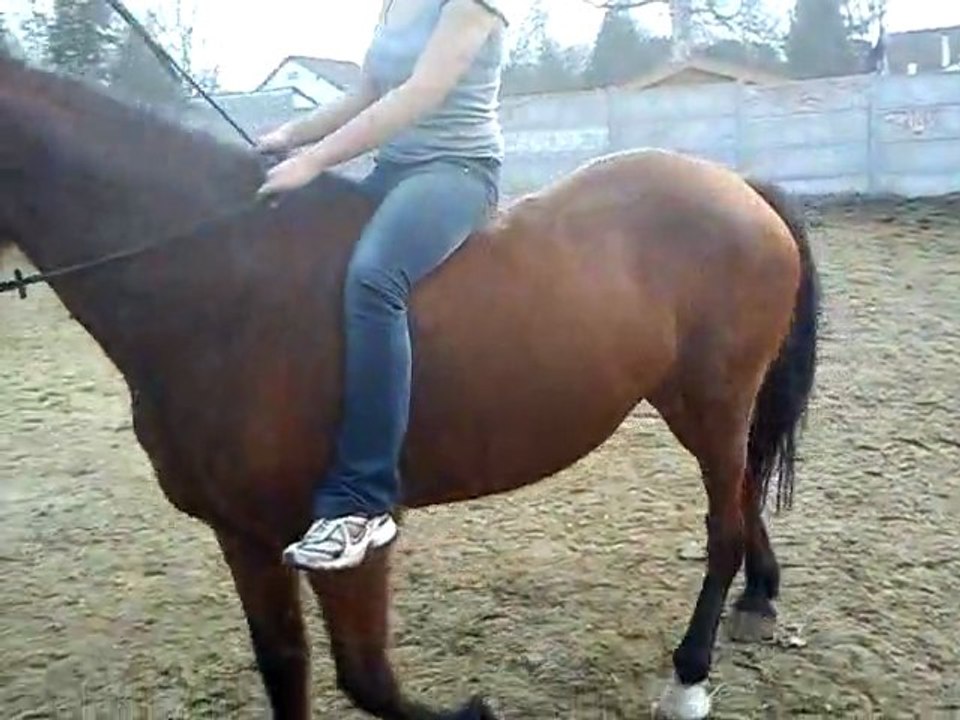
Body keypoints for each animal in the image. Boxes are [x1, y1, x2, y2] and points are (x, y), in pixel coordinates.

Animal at [0, 56, 819, 720]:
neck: (225, 282)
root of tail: (737, 187)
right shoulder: (244, 537)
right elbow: (285, 668)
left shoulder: (350, 543)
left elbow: (369, 681)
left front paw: (474, 711)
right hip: (687, 402)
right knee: (742, 494)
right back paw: (758, 598)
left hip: (715, 400)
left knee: (723, 524)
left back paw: (690, 674)